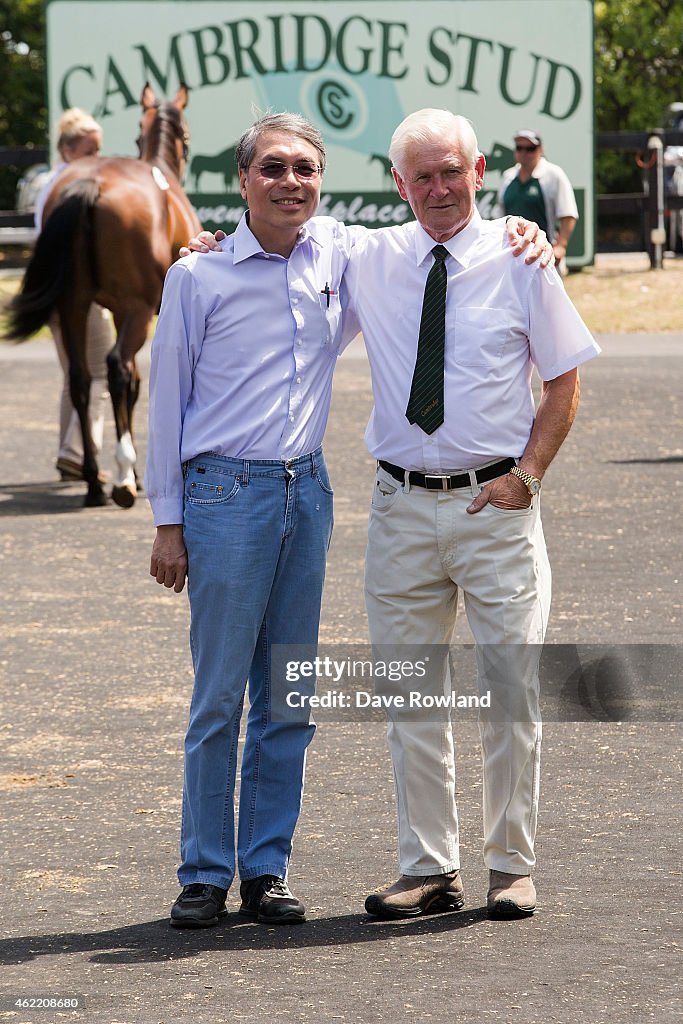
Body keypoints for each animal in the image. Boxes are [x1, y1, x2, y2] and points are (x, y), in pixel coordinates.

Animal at [7, 83, 201, 507]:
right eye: (187, 134)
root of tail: (91, 185)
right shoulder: (141, 312)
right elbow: (134, 381)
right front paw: (136, 476)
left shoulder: (113, 310)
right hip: (136, 311)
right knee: (115, 369)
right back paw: (123, 479)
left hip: (74, 304)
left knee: (81, 378)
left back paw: (94, 482)